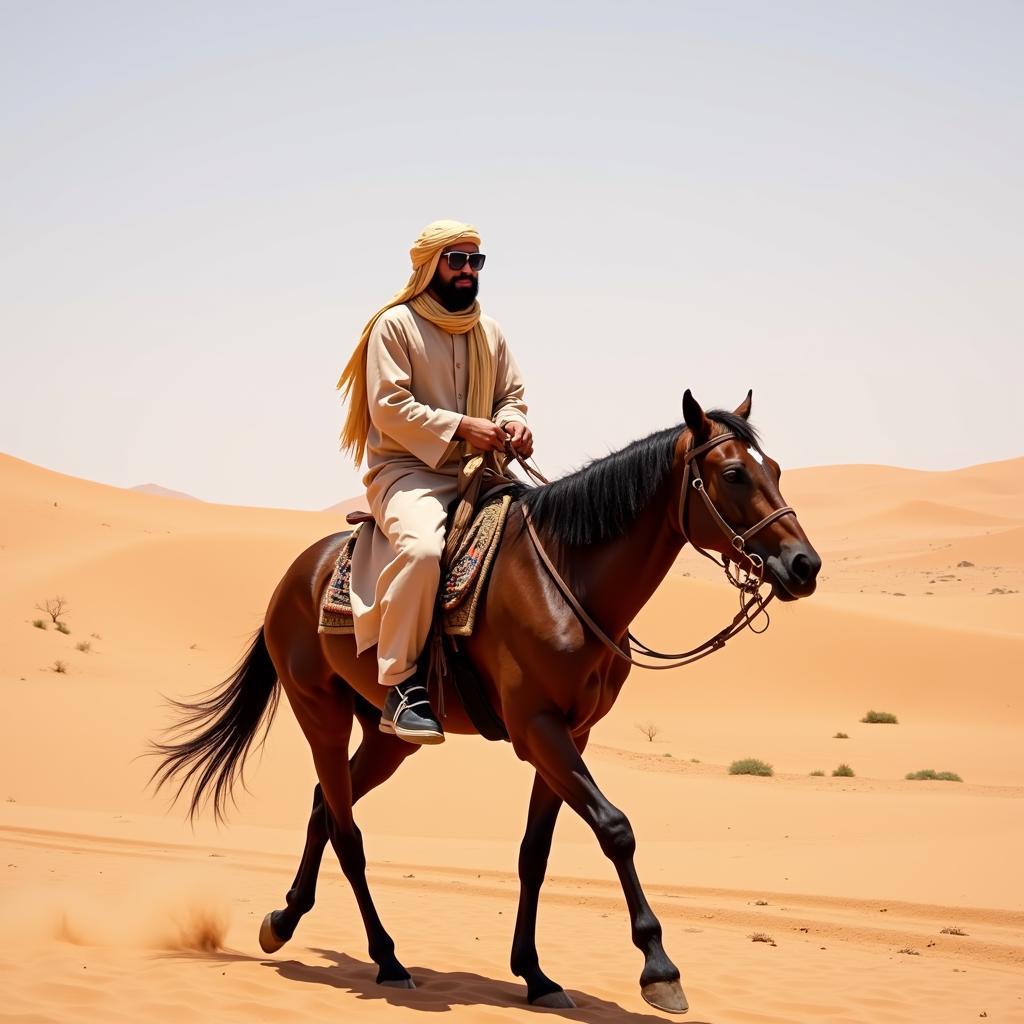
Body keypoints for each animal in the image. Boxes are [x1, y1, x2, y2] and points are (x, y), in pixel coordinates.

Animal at [151, 391, 819, 1015]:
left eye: (776, 469)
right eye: (733, 474)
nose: (803, 564)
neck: (569, 582)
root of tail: (296, 575)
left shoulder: (569, 733)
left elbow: (534, 855)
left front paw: (536, 974)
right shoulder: (537, 728)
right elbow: (615, 828)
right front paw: (659, 969)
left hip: (388, 737)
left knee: (324, 804)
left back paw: (285, 921)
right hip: (322, 715)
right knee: (346, 830)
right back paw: (386, 958)